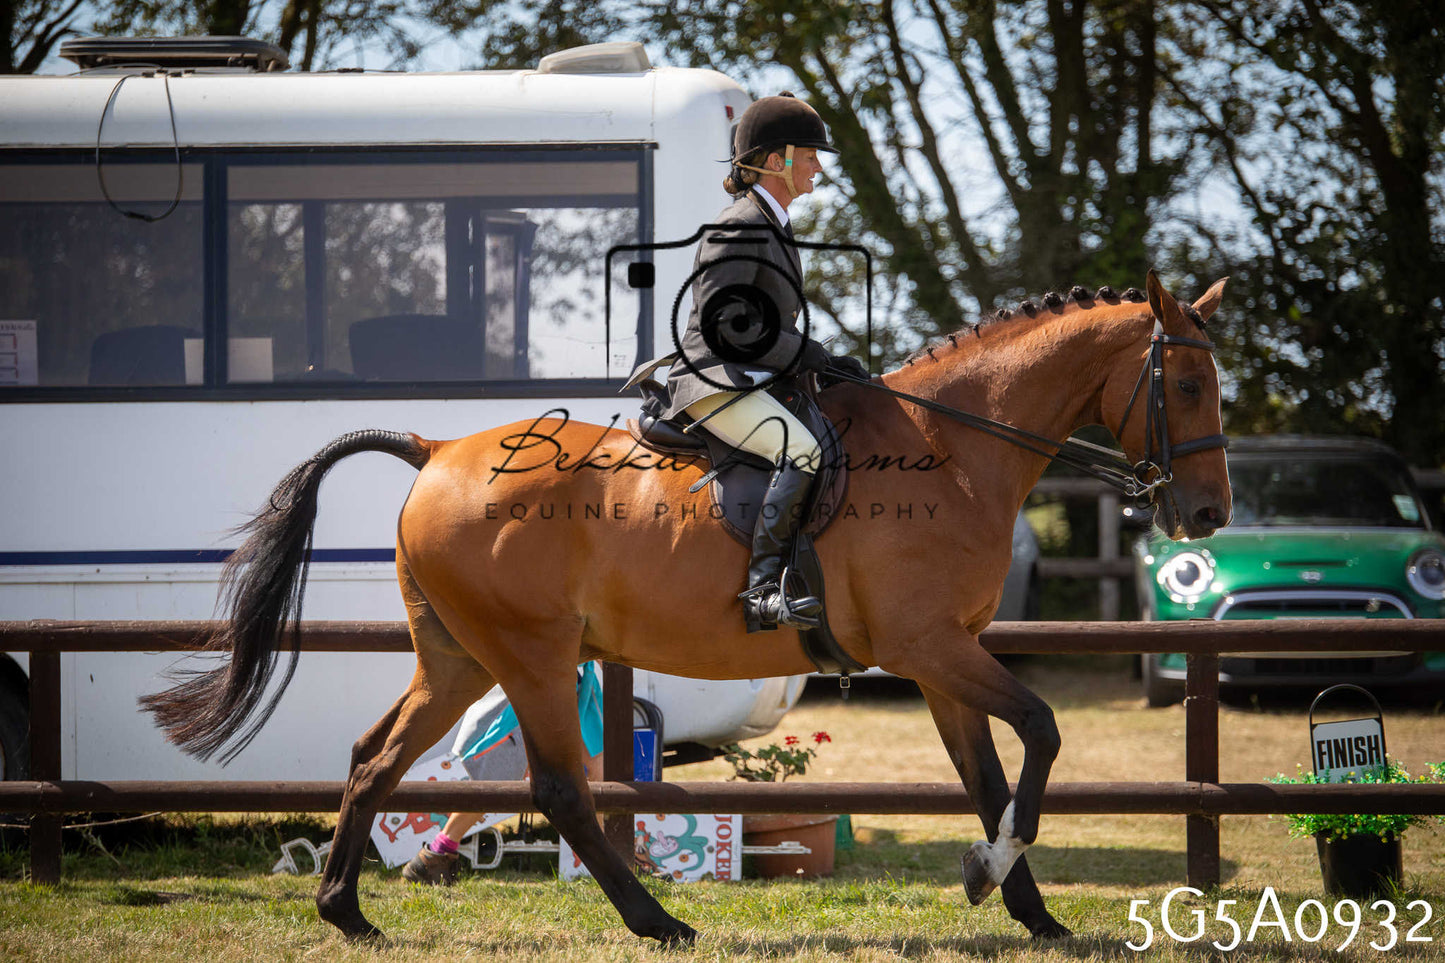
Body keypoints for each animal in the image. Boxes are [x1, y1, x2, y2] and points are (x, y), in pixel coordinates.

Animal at [141, 269, 1232, 944]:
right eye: (1184, 383)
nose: (1209, 515)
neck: (947, 446)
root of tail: (436, 450)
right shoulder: (928, 646)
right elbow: (1040, 733)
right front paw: (989, 874)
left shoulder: (943, 659)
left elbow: (988, 775)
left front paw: (1027, 909)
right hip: (530, 654)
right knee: (560, 790)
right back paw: (656, 921)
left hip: (456, 657)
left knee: (376, 757)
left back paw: (347, 911)